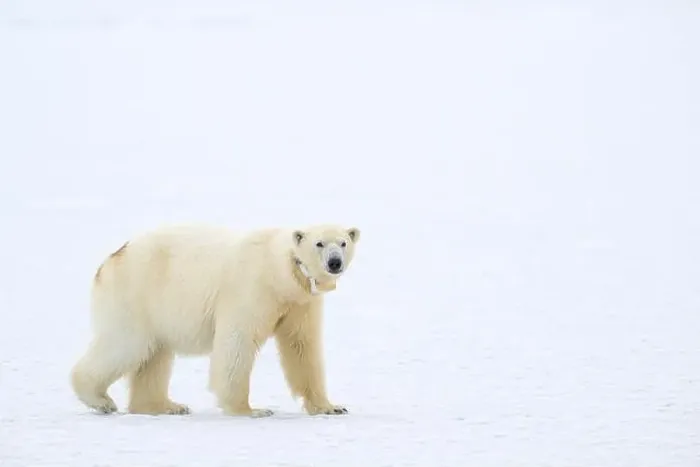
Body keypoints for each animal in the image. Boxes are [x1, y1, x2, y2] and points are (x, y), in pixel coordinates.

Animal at [70, 223, 361, 418]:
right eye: (319, 243)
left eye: (343, 243)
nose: (334, 263)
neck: (279, 271)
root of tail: (111, 258)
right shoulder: (252, 289)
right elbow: (237, 342)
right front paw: (251, 410)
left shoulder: (300, 303)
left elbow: (301, 347)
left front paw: (331, 407)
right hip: (137, 294)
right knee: (127, 344)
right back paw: (101, 400)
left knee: (155, 355)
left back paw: (166, 406)